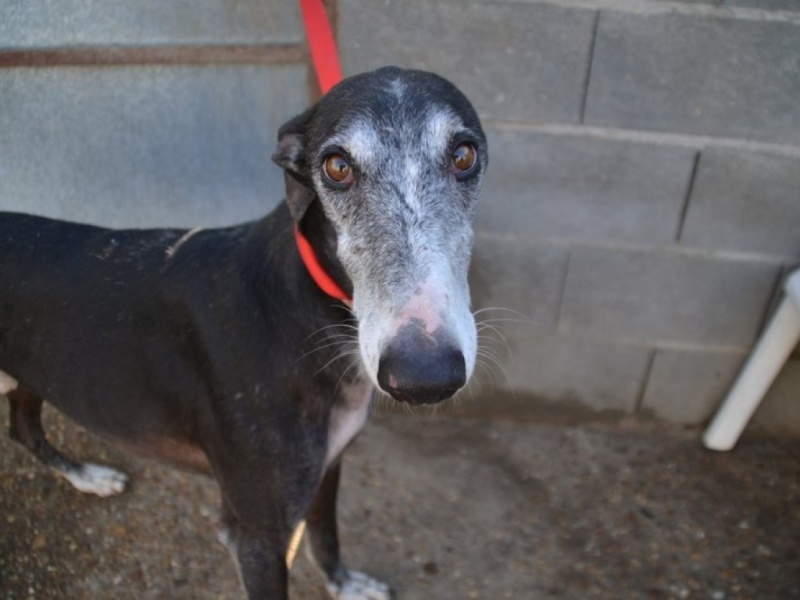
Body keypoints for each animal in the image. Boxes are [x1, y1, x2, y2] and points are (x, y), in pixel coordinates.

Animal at [0, 67, 488, 600]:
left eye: (464, 155)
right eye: (337, 166)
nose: (425, 373)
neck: (301, 310)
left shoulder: (328, 466)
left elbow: (325, 534)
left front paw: (343, 585)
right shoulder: (255, 536)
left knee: (22, 427)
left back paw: (87, 477)